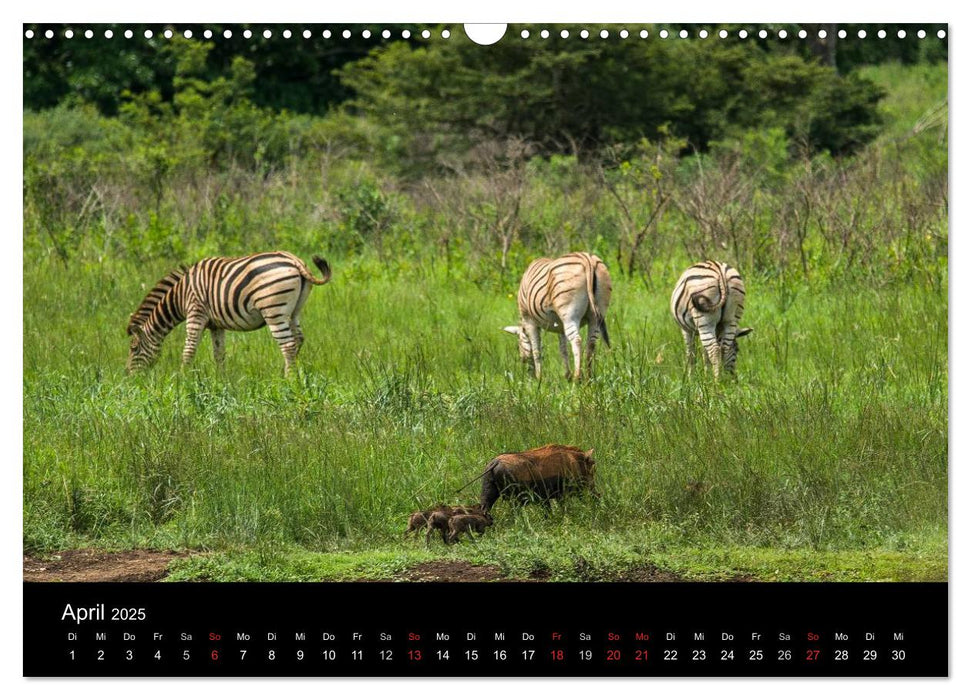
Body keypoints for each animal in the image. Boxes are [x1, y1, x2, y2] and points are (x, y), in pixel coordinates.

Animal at [127, 250, 332, 374]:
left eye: (134, 348)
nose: (129, 375)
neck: (181, 295)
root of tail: (295, 260)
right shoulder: (216, 325)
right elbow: (219, 354)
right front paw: (221, 381)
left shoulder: (195, 313)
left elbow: (189, 350)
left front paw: (182, 380)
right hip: (294, 311)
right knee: (298, 339)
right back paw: (291, 373)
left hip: (274, 311)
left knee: (288, 345)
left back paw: (289, 380)